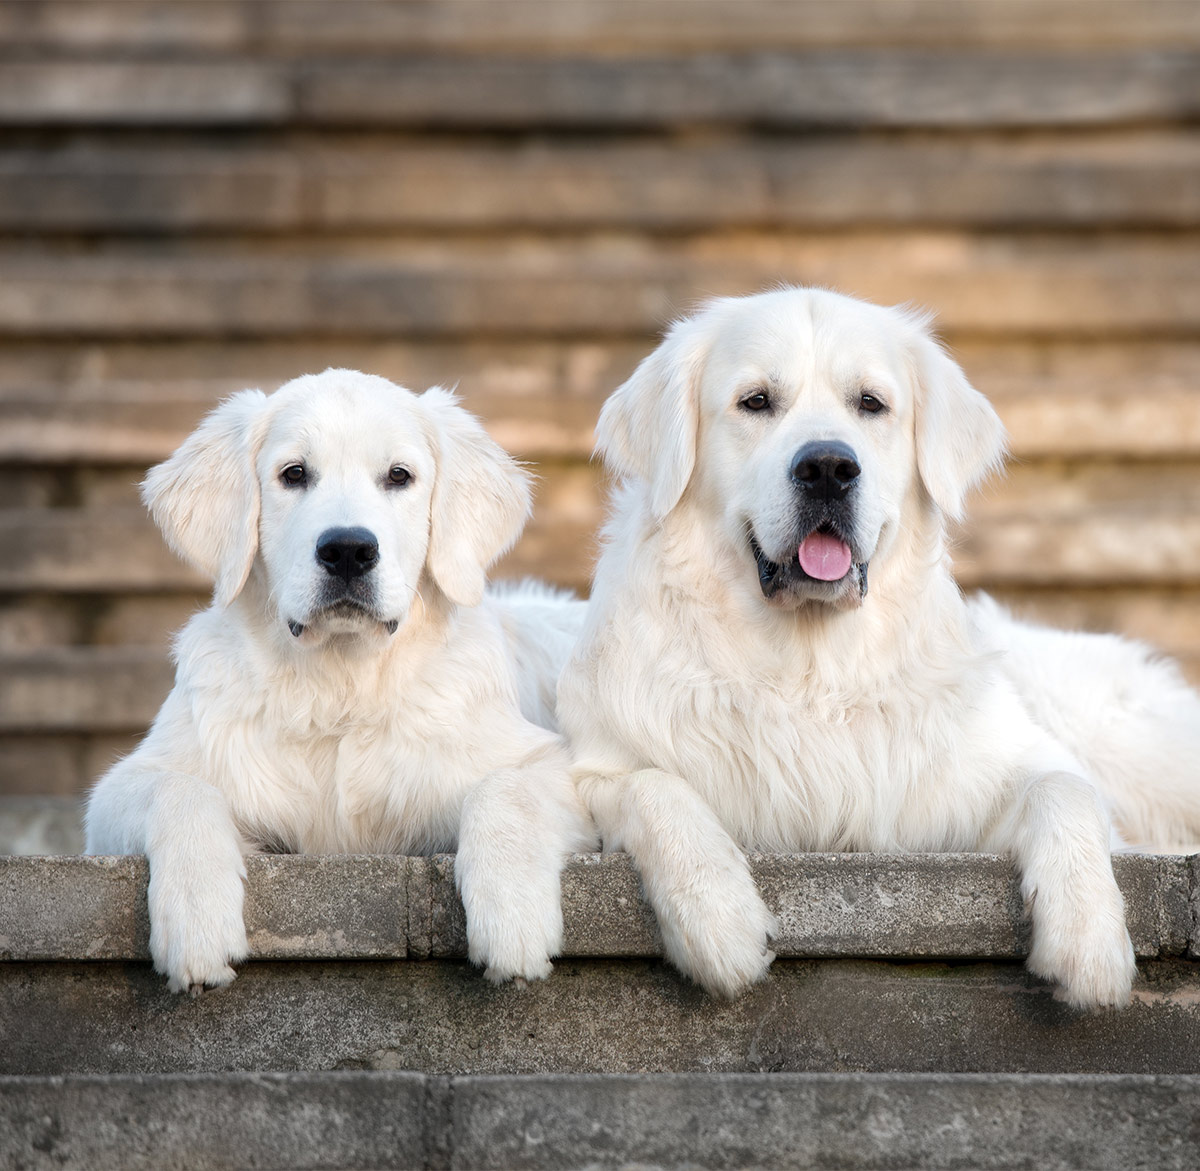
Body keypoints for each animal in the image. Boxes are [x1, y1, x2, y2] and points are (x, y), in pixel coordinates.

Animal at [82, 369, 597, 993]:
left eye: (399, 476)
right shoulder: (118, 792)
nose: (348, 549)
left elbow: (506, 789)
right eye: (293, 474)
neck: (339, 690)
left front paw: (513, 919)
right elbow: (180, 790)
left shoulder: (553, 764)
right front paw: (197, 923)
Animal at [556, 287, 1200, 1012]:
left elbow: (1062, 788)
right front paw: (718, 917)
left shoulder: (990, 774)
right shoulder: (598, 764)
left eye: (870, 403)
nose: (828, 467)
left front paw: (1087, 941)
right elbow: (651, 786)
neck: (810, 669)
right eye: (756, 401)